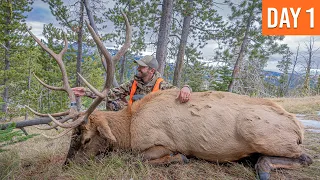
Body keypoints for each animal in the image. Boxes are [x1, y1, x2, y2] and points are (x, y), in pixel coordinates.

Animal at [0, 12, 312, 180]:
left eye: (86, 139)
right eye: (70, 139)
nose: (66, 167)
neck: (128, 128)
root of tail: (298, 127)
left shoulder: (160, 143)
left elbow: (139, 158)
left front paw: (180, 159)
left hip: (258, 130)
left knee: (304, 157)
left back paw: (263, 165)